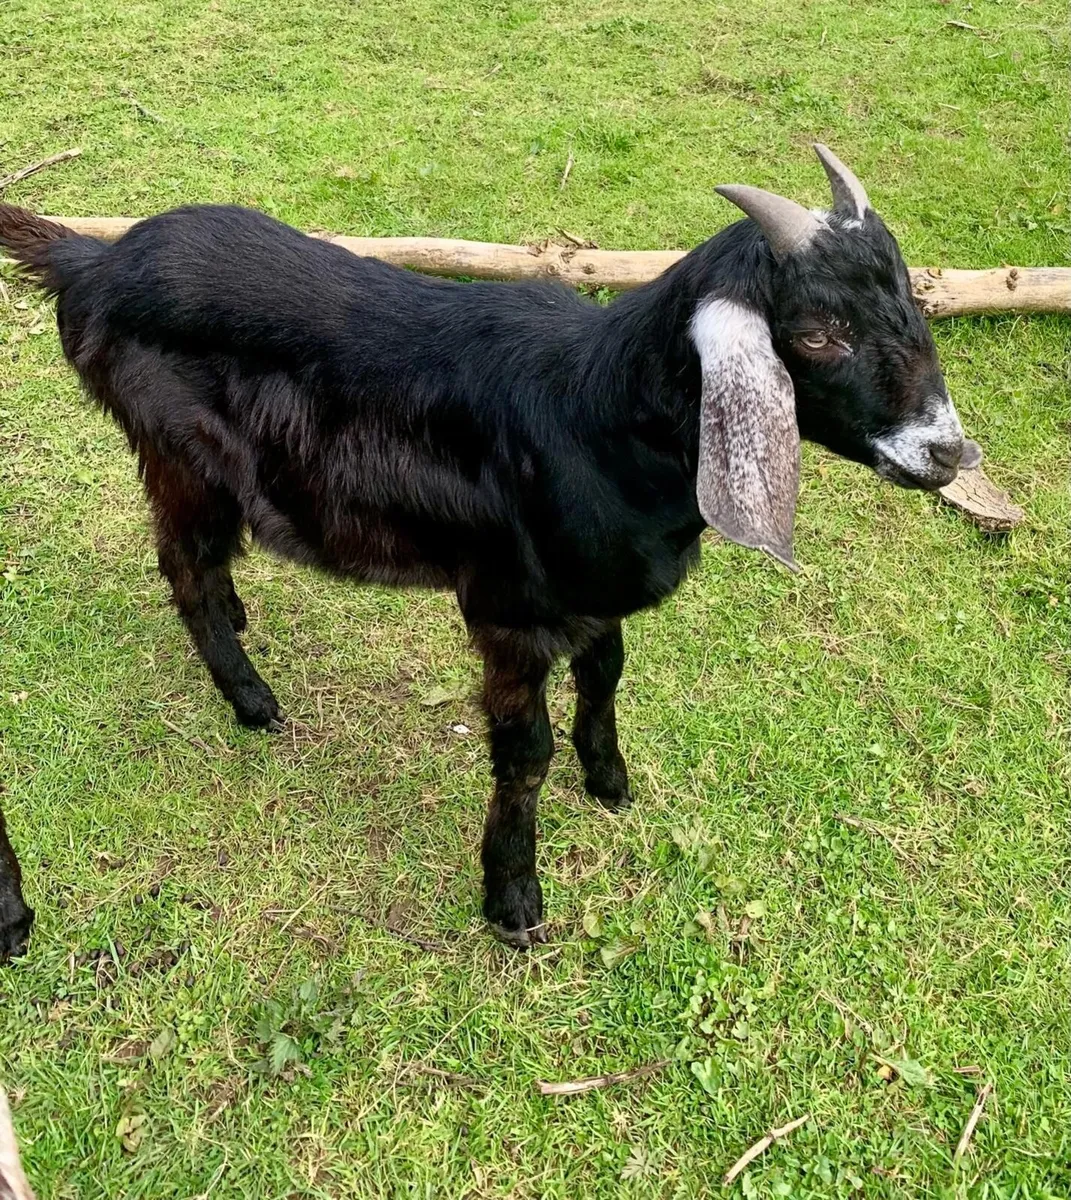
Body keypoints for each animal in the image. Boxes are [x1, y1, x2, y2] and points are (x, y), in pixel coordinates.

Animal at [0, 145, 981, 948]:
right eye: (816, 333)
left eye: (910, 302)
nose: (947, 454)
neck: (594, 411)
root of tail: (92, 260)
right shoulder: (509, 607)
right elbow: (524, 753)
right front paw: (512, 900)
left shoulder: (589, 592)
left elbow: (607, 672)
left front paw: (610, 781)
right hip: (181, 457)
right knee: (185, 566)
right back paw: (251, 699)